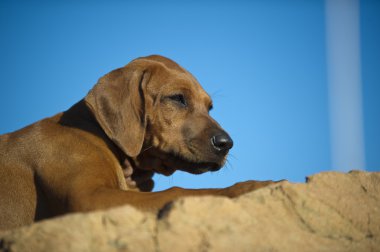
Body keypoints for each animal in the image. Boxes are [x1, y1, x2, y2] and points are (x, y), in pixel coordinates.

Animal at [0, 55, 274, 230]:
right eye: (178, 98)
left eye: (209, 107)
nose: (226, 143)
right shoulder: (88, 199)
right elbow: (181, 191)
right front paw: (249, 187)